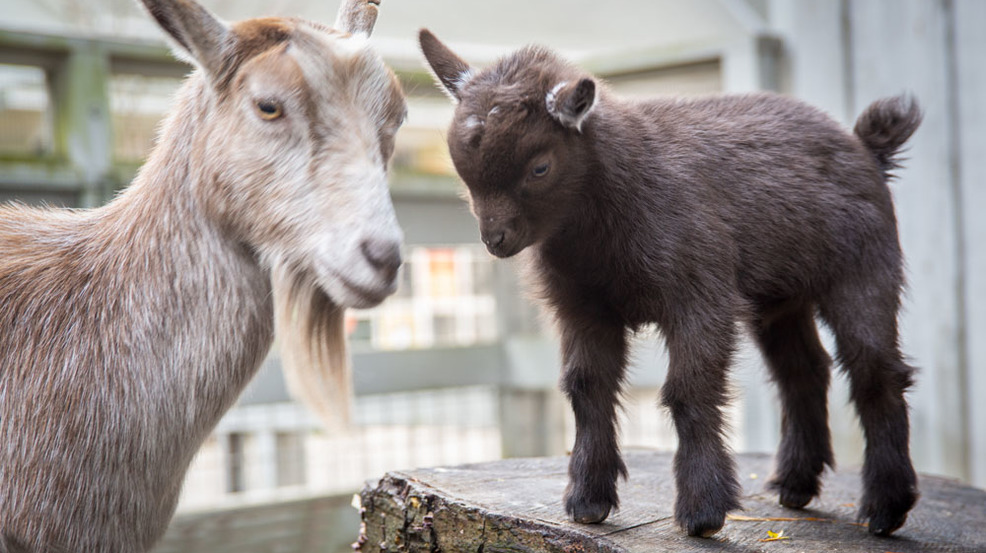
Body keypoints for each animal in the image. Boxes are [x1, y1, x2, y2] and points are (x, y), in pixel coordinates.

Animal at [418, 31, 920, 540]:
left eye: (540, 167)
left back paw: (885, 508)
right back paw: (795, 485)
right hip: (781, 298)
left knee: (876, 372)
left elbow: (688, 390)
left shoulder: (700, 295)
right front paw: (588, 500)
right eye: (462, 168)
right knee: (803, 371)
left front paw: (702, 511)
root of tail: (865, 147)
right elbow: (585, 386)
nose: (496, 240)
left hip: (863, 270)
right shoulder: (583, 307)